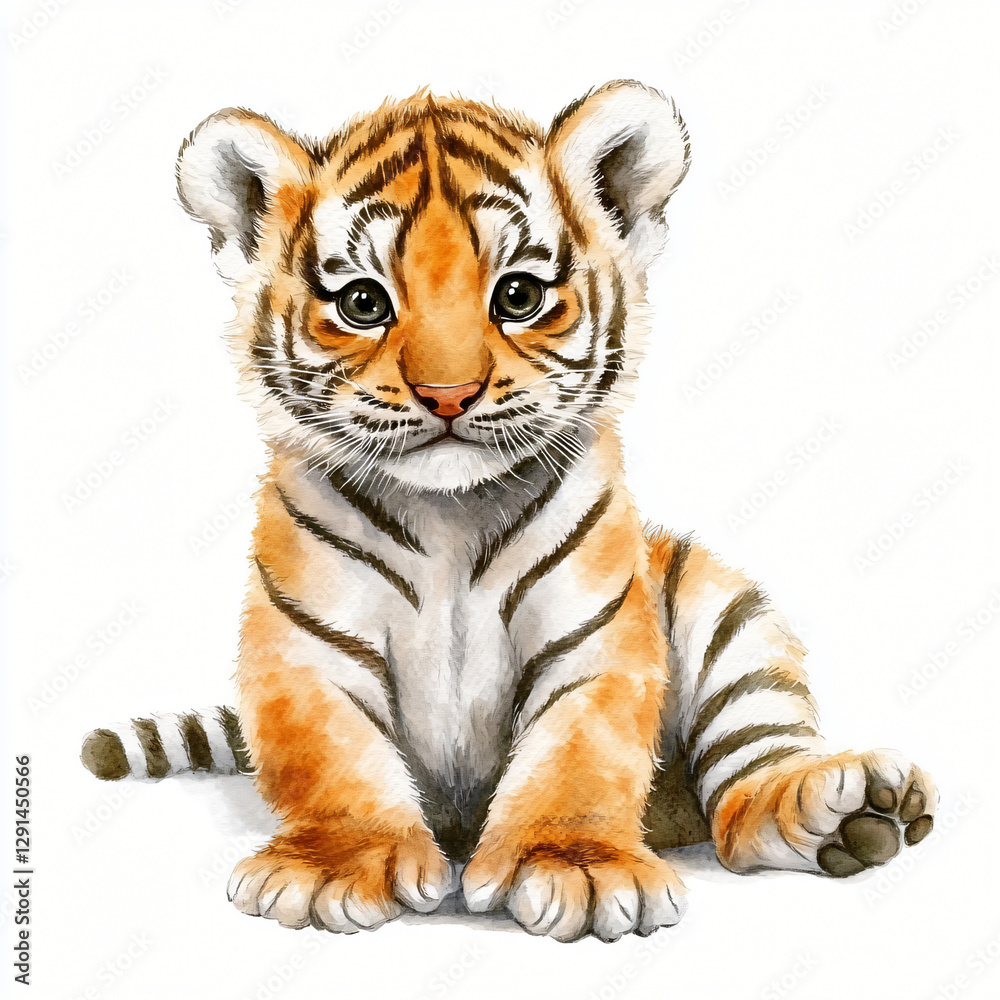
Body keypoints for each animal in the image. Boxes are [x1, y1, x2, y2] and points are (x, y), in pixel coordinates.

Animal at [80, 81, 937, 942]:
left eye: (518, 297)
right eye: (363, 303)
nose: (448, 394)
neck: (448, 519)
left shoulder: (593, 639)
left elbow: (577, 756)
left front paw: (576, 868)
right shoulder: (306, 646)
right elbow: (333, 758)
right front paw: (337, 866)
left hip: (724, 612)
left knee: (749, 773)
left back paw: (852, 813)